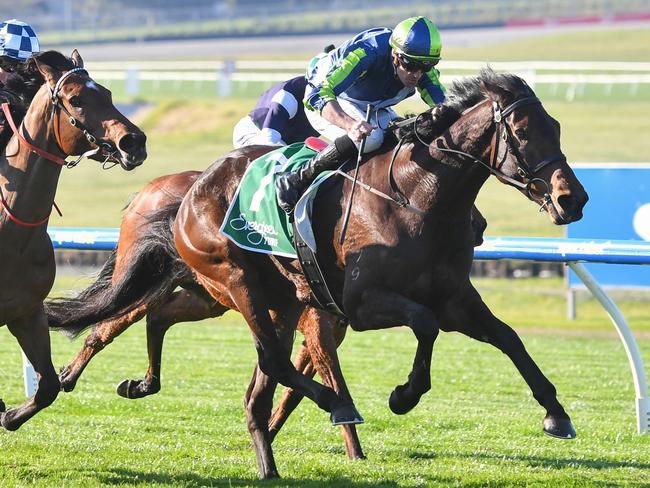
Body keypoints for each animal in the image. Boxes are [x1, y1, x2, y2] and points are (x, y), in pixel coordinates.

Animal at [0, 50, 146, 430]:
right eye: (76, 99)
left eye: (108, 93)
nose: (134, 142)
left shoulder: (27, 311)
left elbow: (49, 387)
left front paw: (8, 415)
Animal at [49, 68, 588, 476]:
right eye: (522, 132)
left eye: (558, 127)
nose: (573, 199)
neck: (418, 194)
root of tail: (188, 193)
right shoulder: (360, 304)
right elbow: (423, 326)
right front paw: (403, 396)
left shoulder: (454, 298)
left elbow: (509, 339)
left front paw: (556, 415)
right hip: (233, 280)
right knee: (254, 356)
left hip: (252, 298)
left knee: (221, 348)